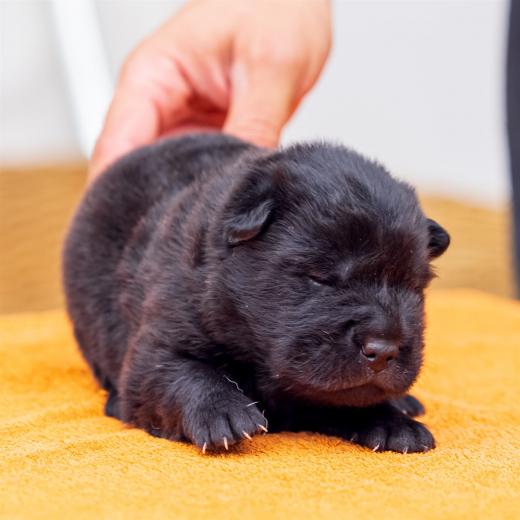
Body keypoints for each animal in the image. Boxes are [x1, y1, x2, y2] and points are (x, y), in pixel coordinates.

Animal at [63, 133, 450, 454]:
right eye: (322, 278)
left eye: (413, 288)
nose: (383, 350)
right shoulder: (159, 338)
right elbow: (181, 371)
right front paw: (222, 410)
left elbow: (349, 396)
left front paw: (394, 422)